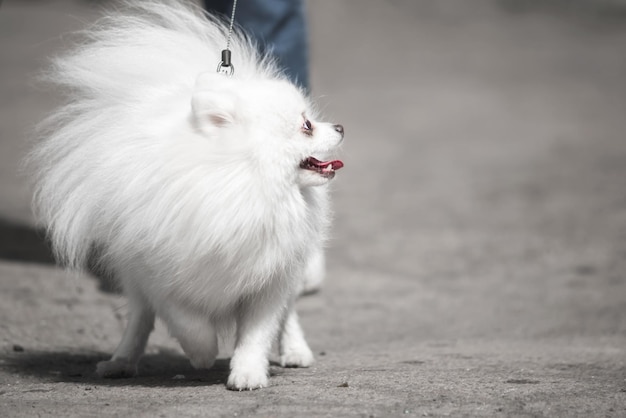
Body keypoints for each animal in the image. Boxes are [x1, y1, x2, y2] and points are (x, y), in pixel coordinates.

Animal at [28, 0, 342, 392]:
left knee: (289, 314)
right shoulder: (159, 270)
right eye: (306, 125)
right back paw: (121, 361)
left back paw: (296, 350)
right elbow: (186, 320)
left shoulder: (269, 275)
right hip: (134, 275)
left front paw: (247, 373)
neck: (243, 187)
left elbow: (258, 331)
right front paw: (203, 354)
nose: (340, 127)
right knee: (140, 318)